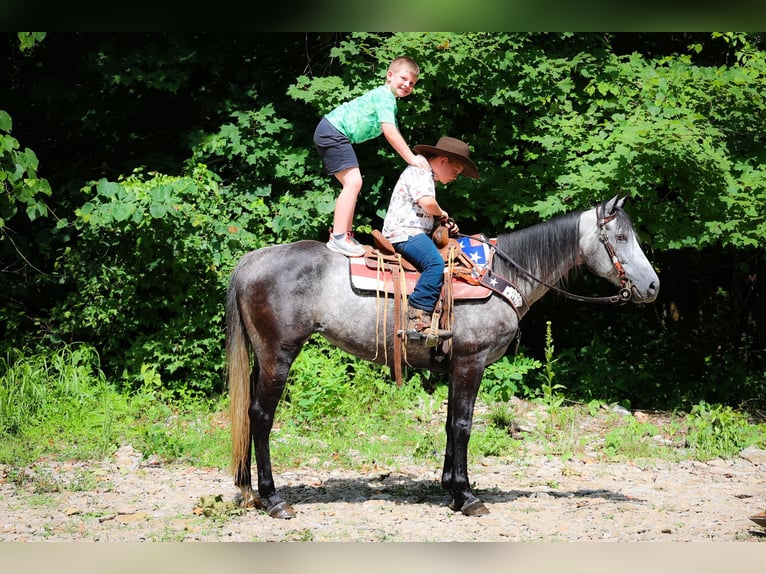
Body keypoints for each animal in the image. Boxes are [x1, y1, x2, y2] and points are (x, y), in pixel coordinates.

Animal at [226, 195, 659, 519]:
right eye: (621, 236)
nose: (654, 286)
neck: (502, 275)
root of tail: (250, 261)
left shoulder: (455, 365)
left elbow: (451, 424)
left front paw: (451, 489)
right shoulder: (471, 361)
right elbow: (464, 425)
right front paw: (467, 498)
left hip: (262, 358)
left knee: (248, 414)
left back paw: (248, 490)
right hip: (279, 355)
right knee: (261, 417)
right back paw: (274, 499)